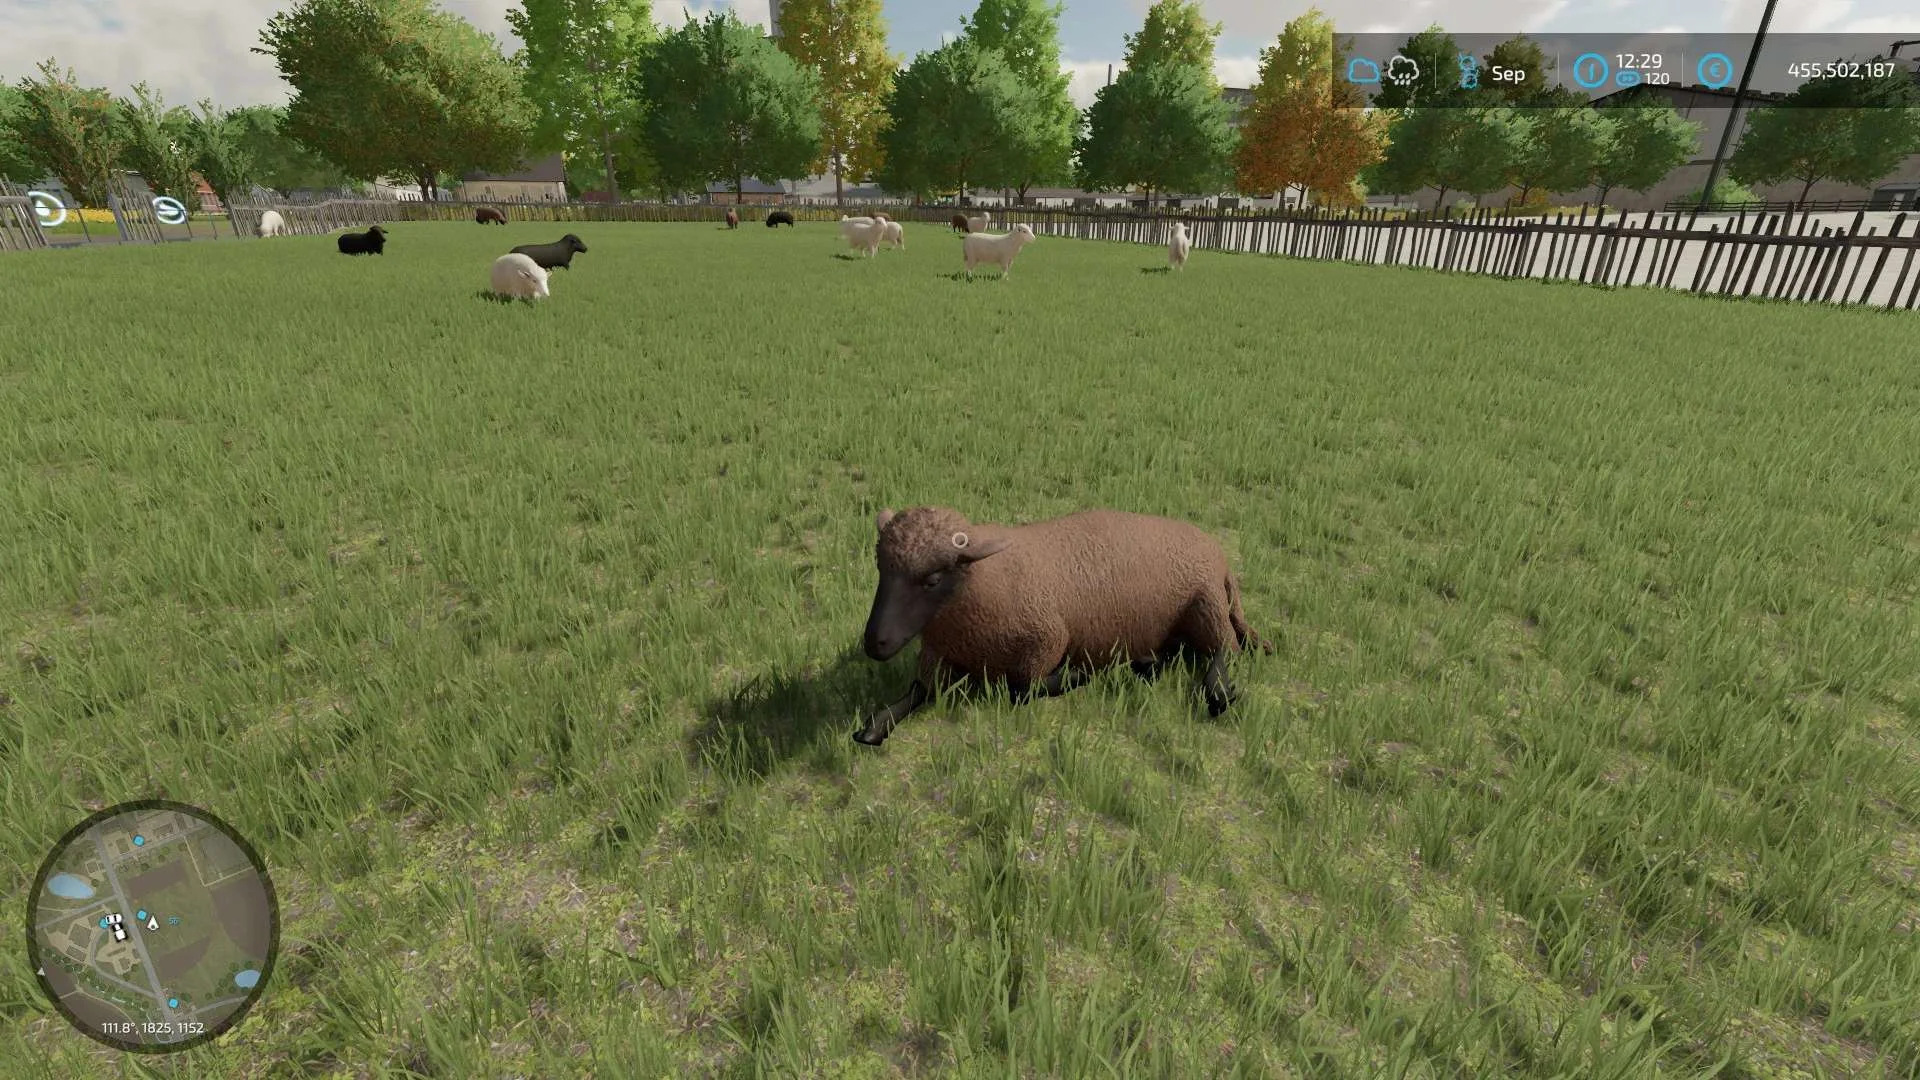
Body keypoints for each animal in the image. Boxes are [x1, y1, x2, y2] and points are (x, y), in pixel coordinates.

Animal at [853, 507, 1273, 745]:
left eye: (933, 579)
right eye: (881, 567)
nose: (874, 644)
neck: (984, 581)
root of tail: (1221, 558)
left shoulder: (1048, 639)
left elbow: (1023, 690)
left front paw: (1079, 676)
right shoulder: (936, 655)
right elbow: (916, 691)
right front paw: (874, 727)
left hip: (1205, 605)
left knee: (1226, 651)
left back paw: (1217, 692)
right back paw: (1147, 663)